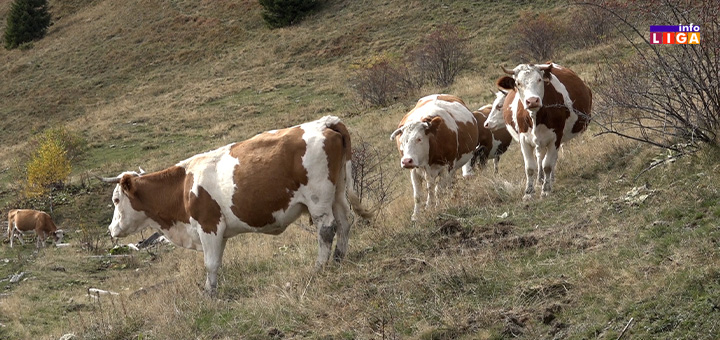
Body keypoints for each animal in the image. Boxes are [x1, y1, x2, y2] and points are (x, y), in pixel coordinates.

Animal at [101, 115, 372, 294]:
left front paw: (208, 295)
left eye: (116, 199)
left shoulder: (208, 226)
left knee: (327, 228)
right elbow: (216, 263)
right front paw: (211, 290)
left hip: (318, 199)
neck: (183, 188)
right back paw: (338, 259)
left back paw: (319, 267)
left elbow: (210, 263)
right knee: (345, 221)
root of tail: (324, 122)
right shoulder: (219, 232)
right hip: (337, 193)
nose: (111, 229)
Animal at [486, 63, 592, 199]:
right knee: (540, 157)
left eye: (539, 79)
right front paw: (529, 192)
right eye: (518, 83)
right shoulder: (524, 140)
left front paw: (546, 189)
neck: (535, 117)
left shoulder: (555, 137)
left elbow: (547, 165)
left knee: (550, 159)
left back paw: (549, 179)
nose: (532, 101)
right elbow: (530, 167)